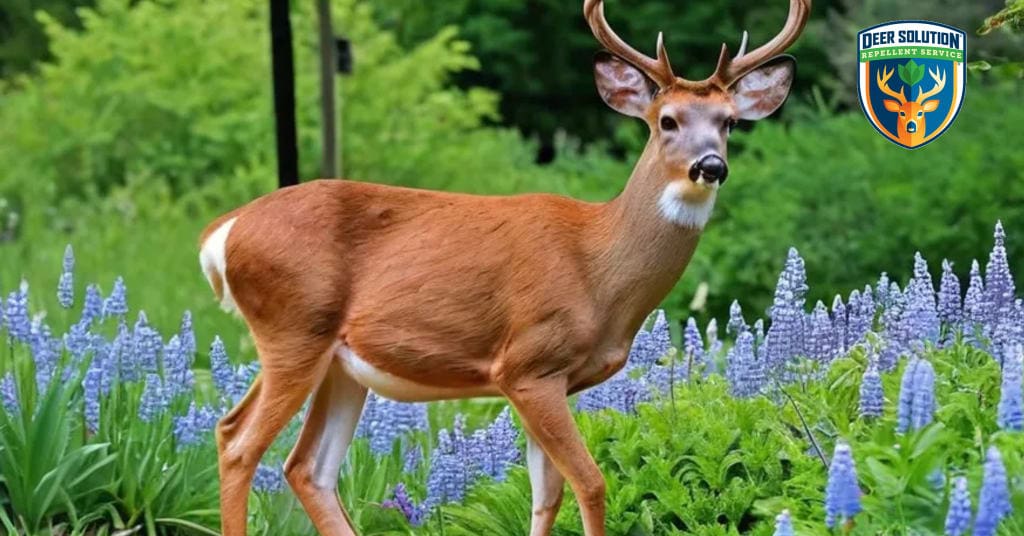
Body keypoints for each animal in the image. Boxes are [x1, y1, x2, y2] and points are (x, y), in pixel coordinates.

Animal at [198, 1, 809, 534]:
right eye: (667, 120)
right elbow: (591, 483)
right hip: (294, 328)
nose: (710, 166)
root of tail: (222, 232)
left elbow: (547, 494)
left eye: (730, 122)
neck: (598, 270)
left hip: (336, 362)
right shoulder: (527, 363)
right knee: (237, 440)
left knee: (307, 467)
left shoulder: (553, 379)